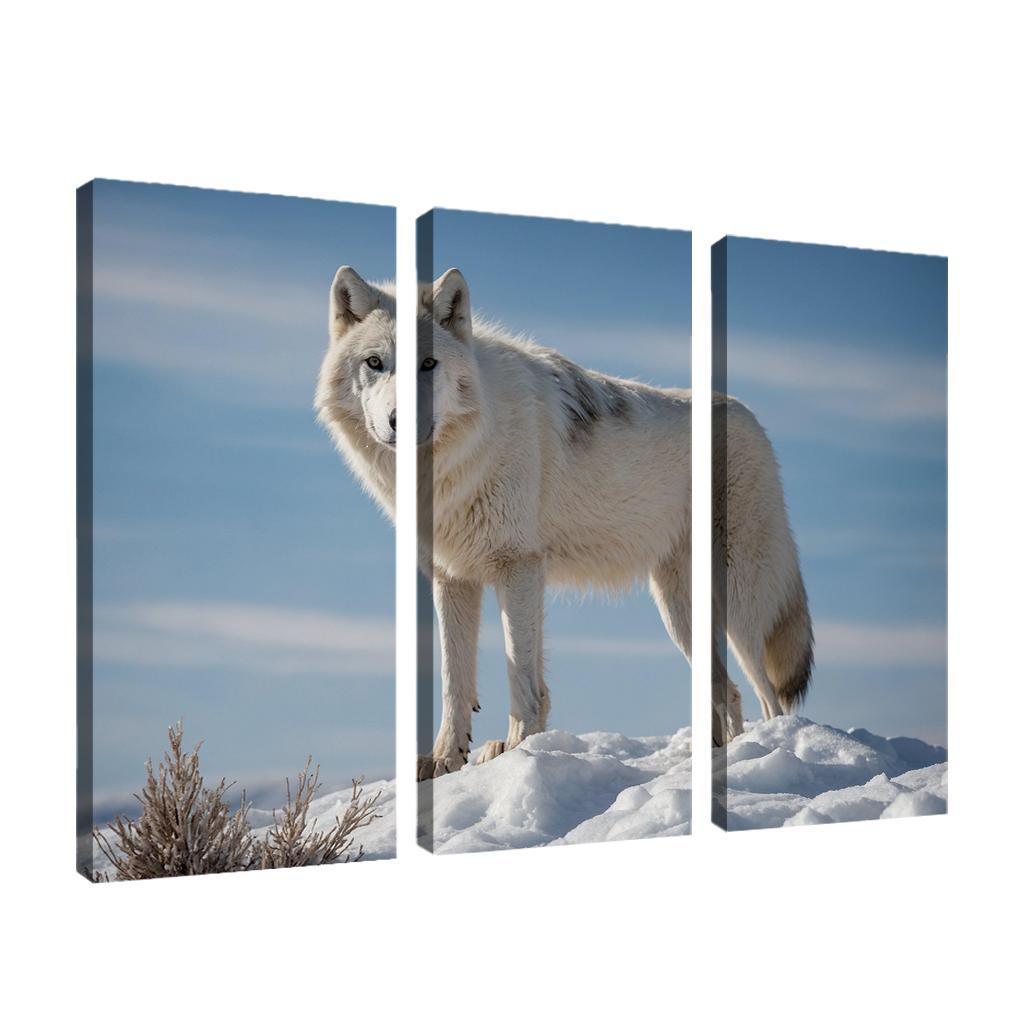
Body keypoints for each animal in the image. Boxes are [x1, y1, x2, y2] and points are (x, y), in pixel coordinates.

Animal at [315, 265, 813, 780]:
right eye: (375, 363)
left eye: (429, 364)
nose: (401, 422)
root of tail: (751, 415)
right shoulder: (455, 577)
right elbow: (457, 681)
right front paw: (445, 761)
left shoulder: (517, 567)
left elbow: (520, 673)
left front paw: (517, 750)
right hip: (678, 611)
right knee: (727, 691)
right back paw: (717, 758)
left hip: (739, 605)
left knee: (768, 695)